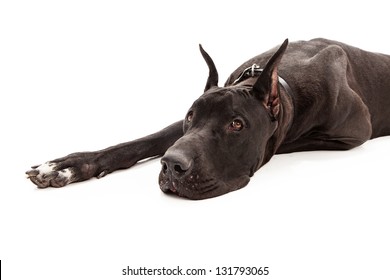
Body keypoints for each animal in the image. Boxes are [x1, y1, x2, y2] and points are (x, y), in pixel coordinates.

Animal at [26, 38, 390, 199]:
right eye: (190, 116)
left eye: (237, 125)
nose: (172, 165)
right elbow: (143, 142)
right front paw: (65, 166)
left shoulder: (351, 134)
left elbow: (284, 142)